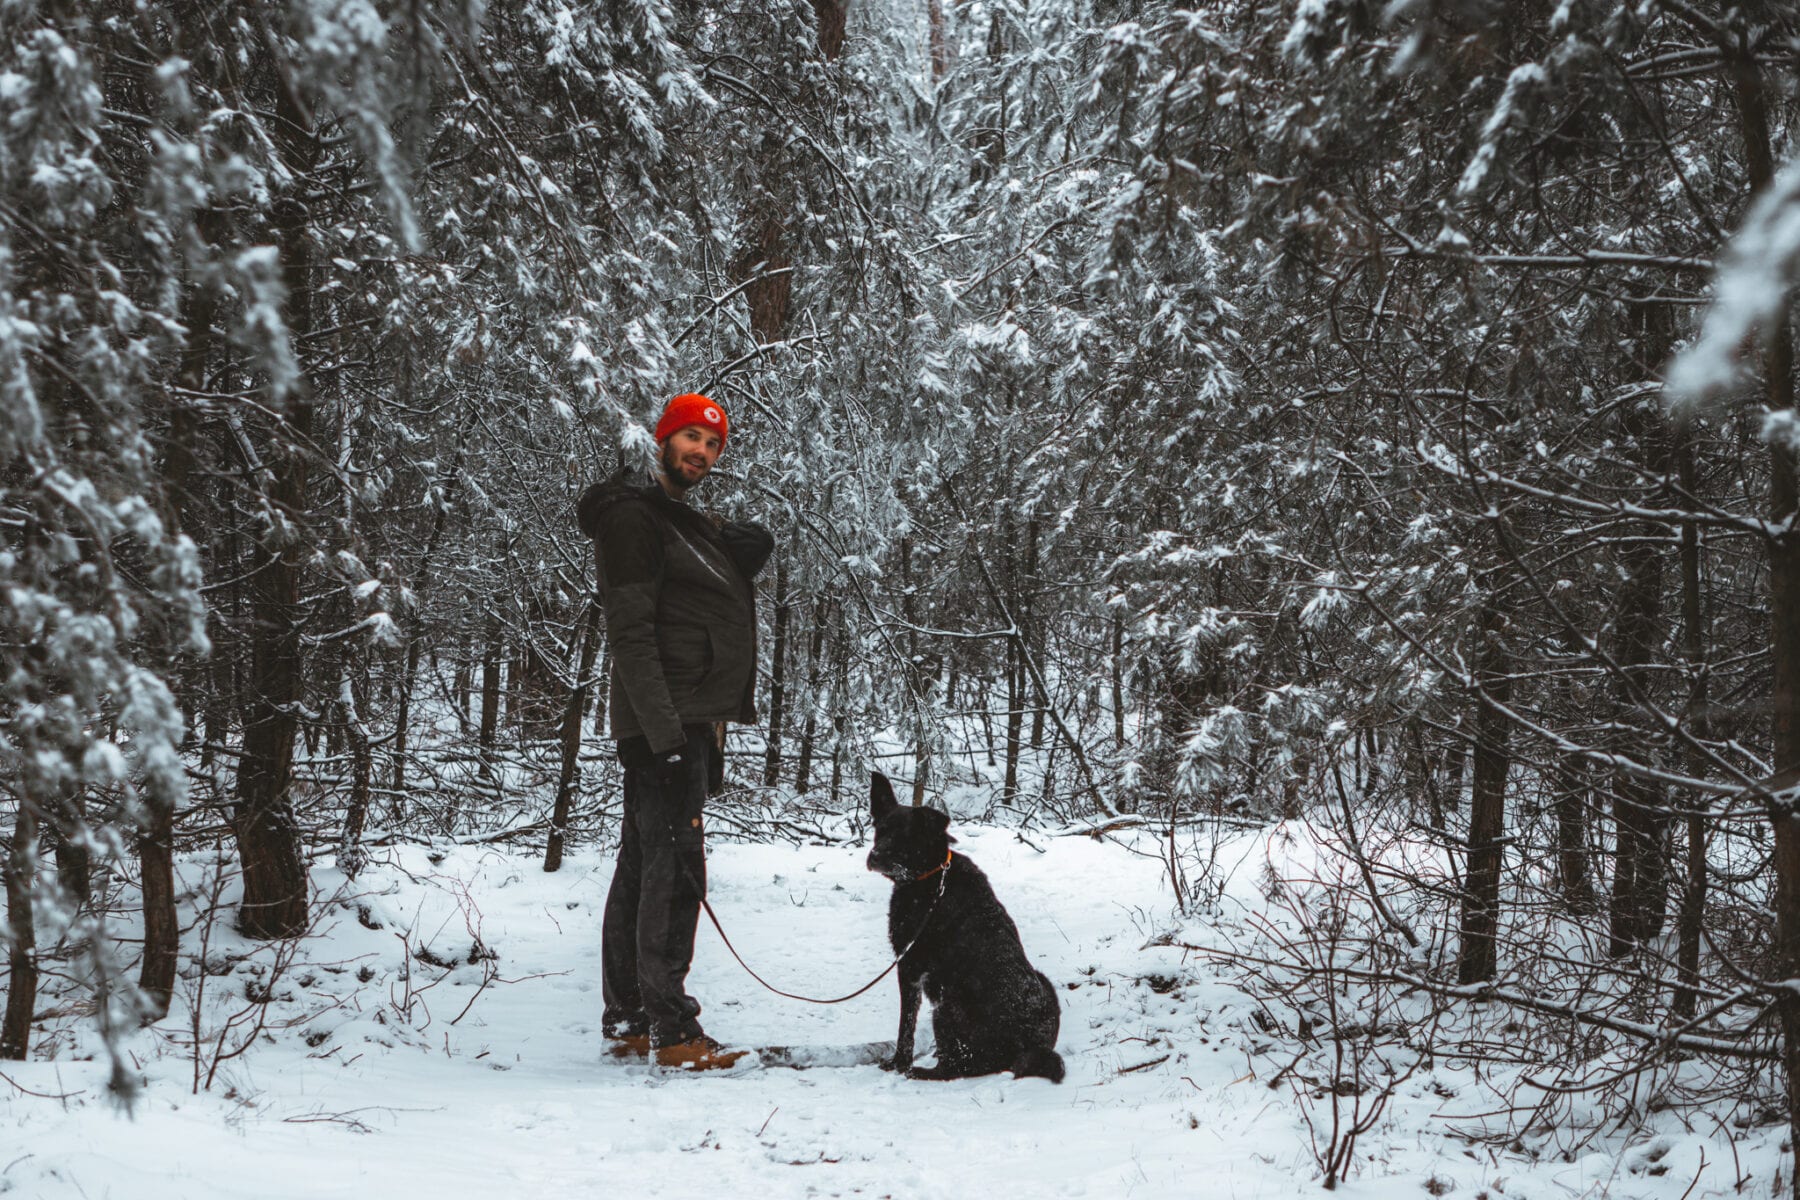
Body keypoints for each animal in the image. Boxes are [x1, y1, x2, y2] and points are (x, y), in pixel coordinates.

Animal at [864, 773, 1058, 1086]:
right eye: (880, 831)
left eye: (905, 836)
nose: (875, 857)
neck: (930, 878)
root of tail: (1030, 1049)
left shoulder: (909, 966)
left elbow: (906, 1026)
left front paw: (899, 1064)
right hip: (1042, 982)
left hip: (946, 1005)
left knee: (956, 1069)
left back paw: (921, 1071)